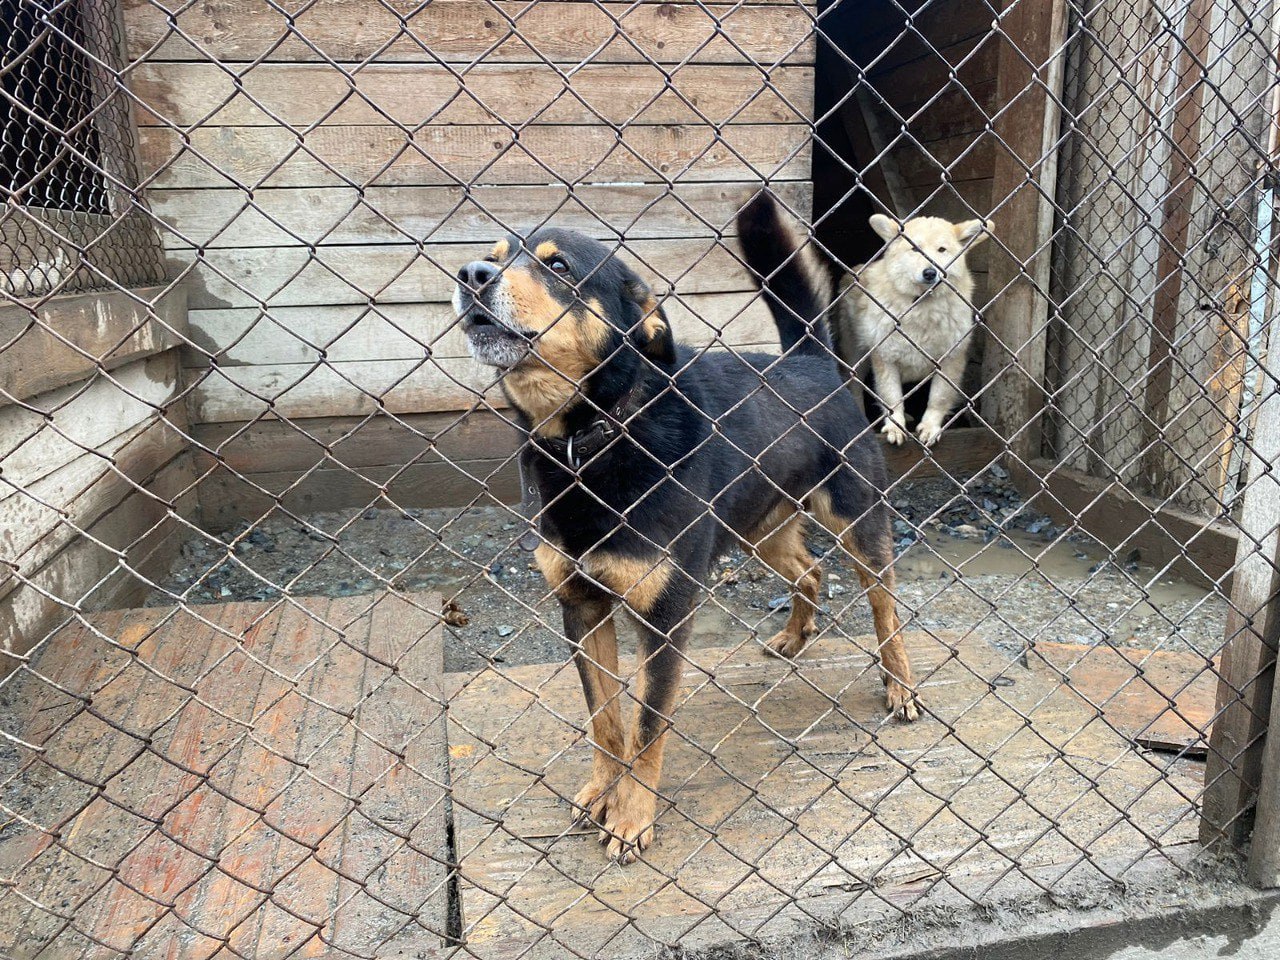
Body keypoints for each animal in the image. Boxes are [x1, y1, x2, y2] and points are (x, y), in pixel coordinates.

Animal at [455, 193, 916, 865]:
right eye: (490, 255)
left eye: (559, 266)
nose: (471, 276)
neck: (589, 438)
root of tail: (807, 359)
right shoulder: (581, 605)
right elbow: (605, 720)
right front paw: (601, 792)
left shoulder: (666, 616)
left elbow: (647, 728)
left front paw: (631, 818)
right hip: (758, 528)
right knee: (809, 570)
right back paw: (793, 636)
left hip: (857, 518)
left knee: (885, 606)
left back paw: (900, 686)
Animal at [834, 213, 993, 448]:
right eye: (914, 249)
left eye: (941, 250)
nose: (930, 272)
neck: (921, 307)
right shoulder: (885, 359)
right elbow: (891, 398)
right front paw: (895, 427)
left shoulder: (950, 360)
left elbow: (938, 399)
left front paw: (930, 427)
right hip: (857, 357)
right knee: (854, 387)